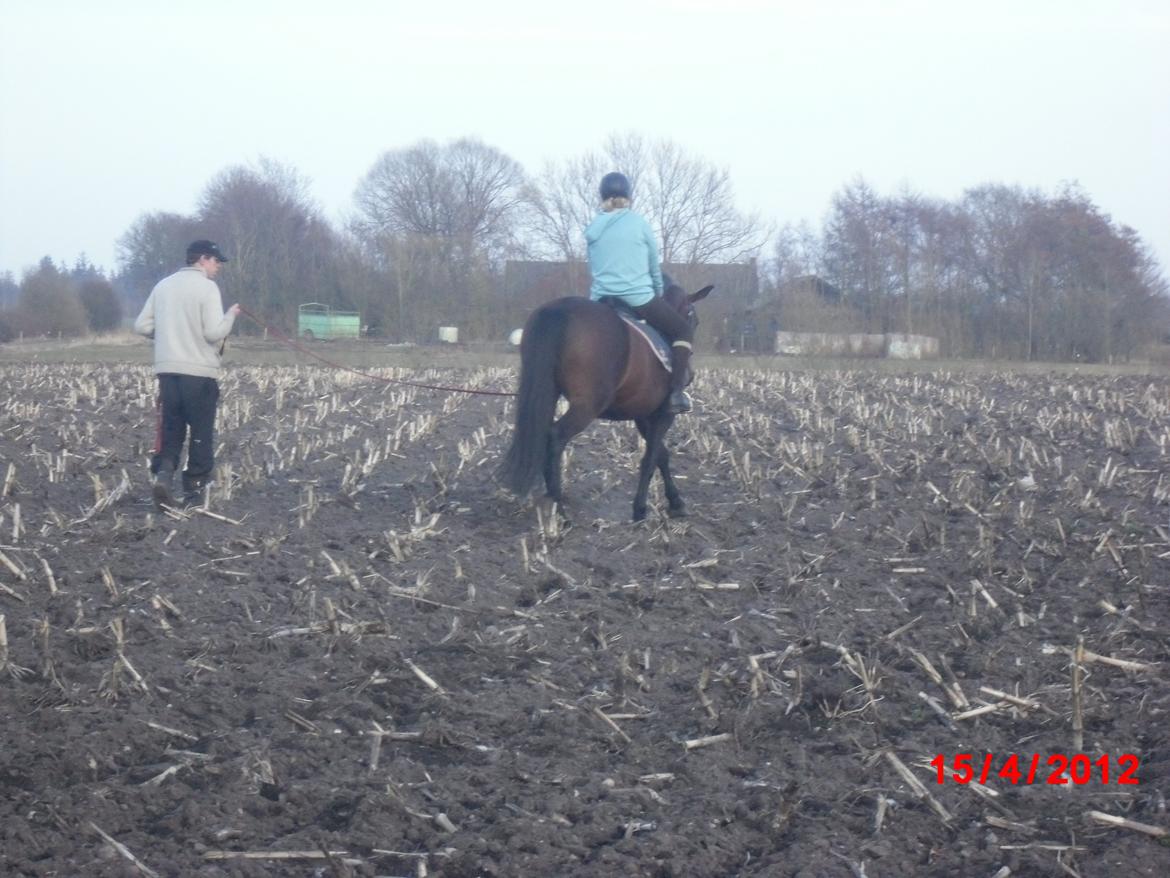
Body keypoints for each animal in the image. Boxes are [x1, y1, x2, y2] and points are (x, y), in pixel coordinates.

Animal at [496, 279, 706, 522]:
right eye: (693, 319)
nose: (690, 374)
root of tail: (560, 309)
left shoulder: (643, 416)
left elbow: (661, 455)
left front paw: (675, 501)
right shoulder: (663, 414)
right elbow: (650, 459)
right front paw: (640, 510)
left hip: (547, 394)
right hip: (587, 407)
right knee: (556, 437)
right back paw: (559, 508)